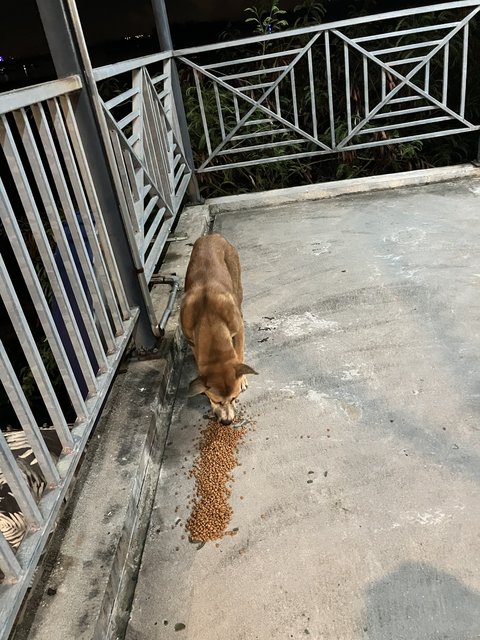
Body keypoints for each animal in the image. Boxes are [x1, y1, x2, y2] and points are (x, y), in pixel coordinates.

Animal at [180, 232, 256, 422]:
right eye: (216, 401)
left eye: (235, 398)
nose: (227, 422)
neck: (208, 318)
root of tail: (212, 235)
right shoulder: (191, 340)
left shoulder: (238, 329)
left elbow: (239, 353)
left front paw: (242, 379)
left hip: (236, 282)